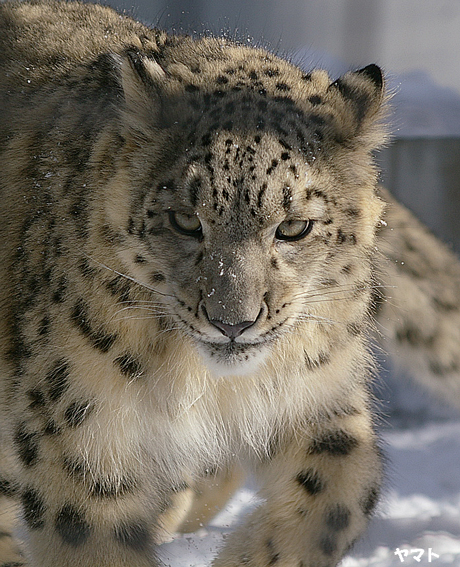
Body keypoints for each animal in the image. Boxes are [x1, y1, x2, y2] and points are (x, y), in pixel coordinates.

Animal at [0, 1, 458, 567]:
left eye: (293, 226)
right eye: (184, 221)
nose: (232, 323)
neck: (205, 384)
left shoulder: (318, 393)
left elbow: (341, 492)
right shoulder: (82, 430)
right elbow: (92, 539)